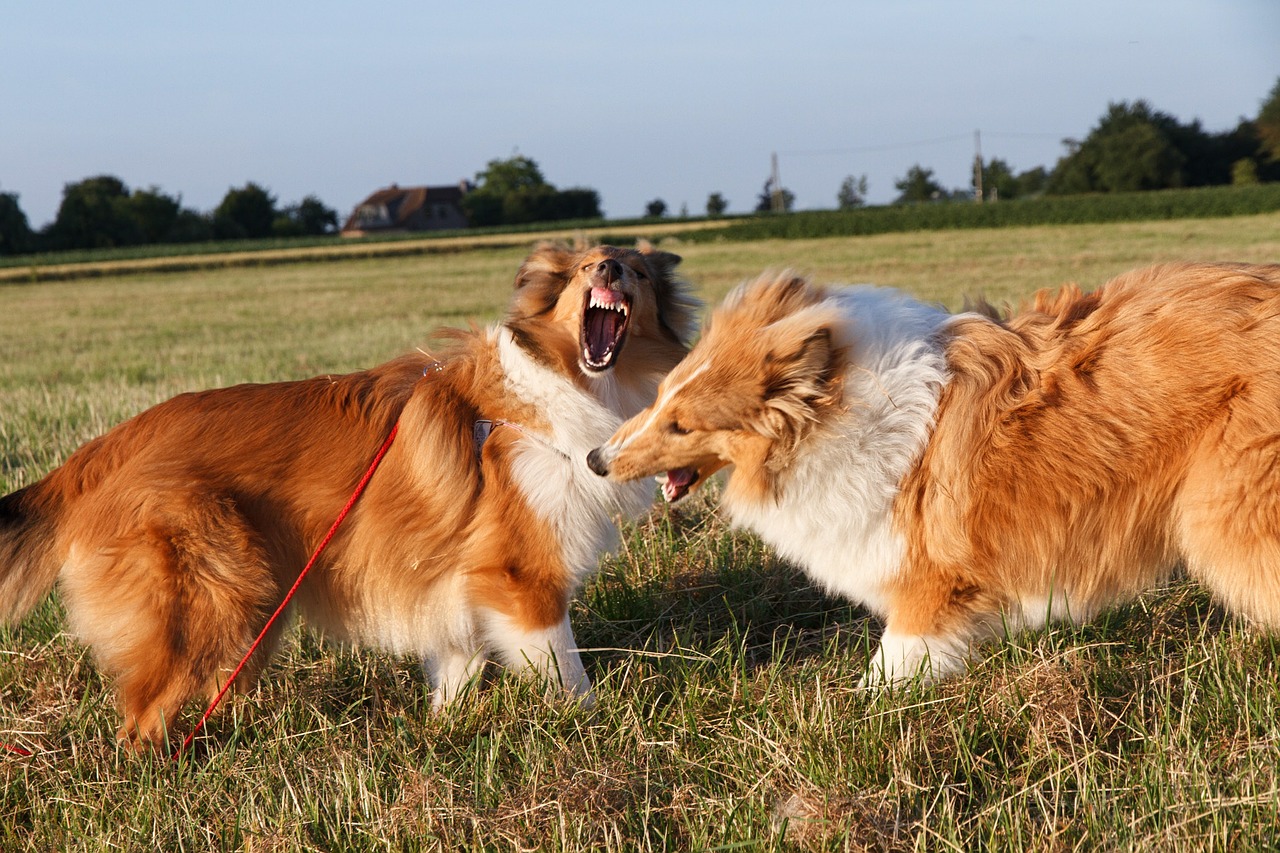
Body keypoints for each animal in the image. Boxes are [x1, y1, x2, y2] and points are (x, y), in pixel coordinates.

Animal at [2, 240, 701, 742]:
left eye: (639, 273)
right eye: (586, 267)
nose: (611, 268)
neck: (550, 392)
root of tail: (105, 448)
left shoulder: (458, 582)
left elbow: (458, 664)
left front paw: (440, 731)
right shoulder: (523, 576)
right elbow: (566, 669)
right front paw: (594, 724)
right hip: (217, 595)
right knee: (141, 717)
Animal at [593, 263, 1280, 686]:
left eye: (682, 425)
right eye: (663, 394)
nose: (596, 460)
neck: (839, 409)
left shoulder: (927, 583)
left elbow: (888, 670)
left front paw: (862, 710)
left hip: (1233, 520)